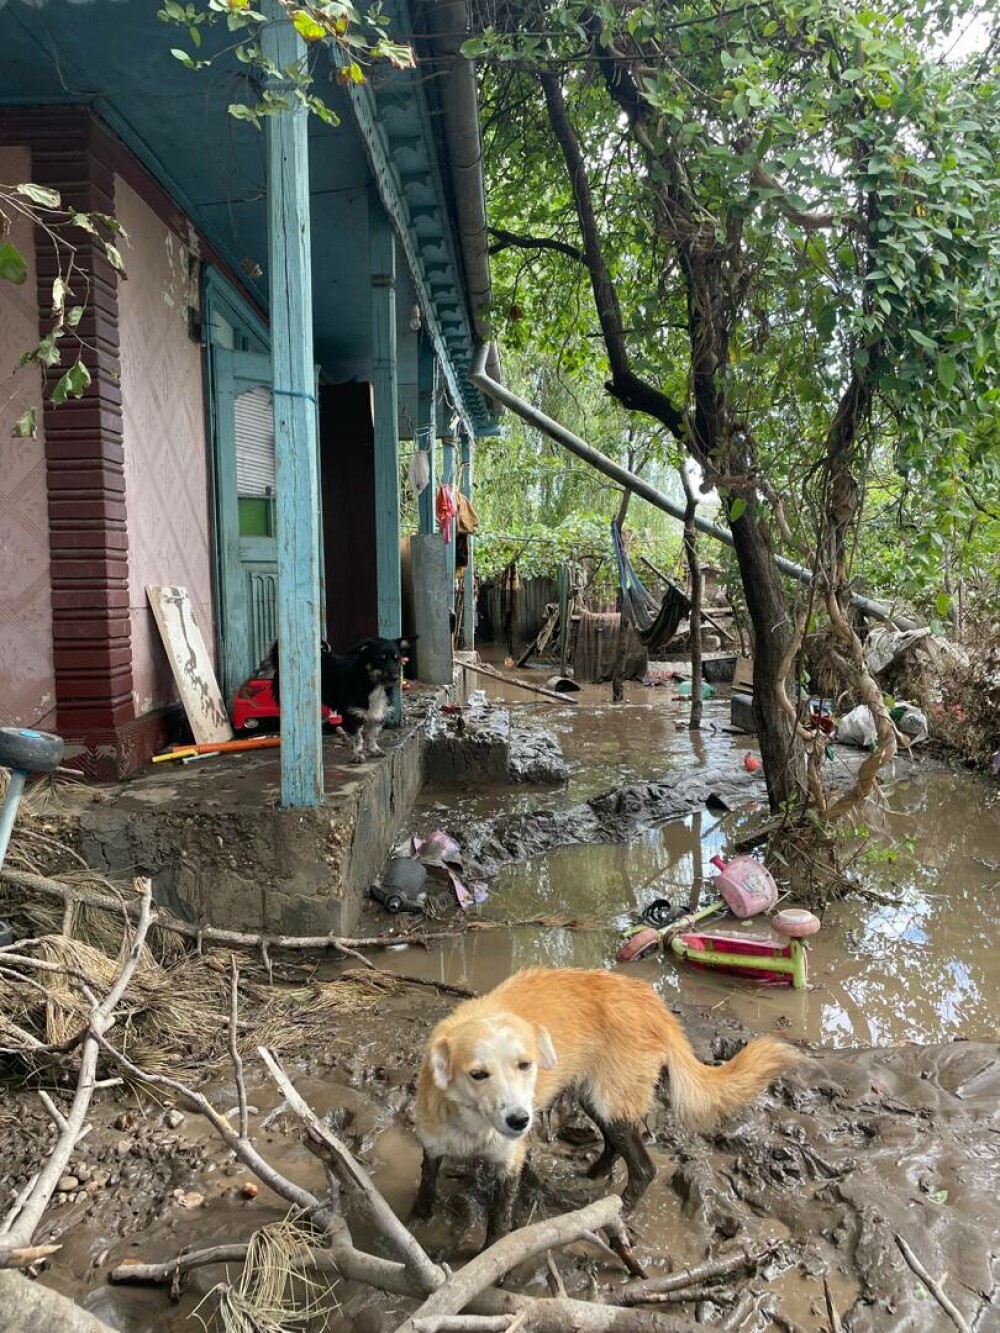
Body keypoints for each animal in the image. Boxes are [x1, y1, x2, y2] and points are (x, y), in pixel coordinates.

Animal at [266, 637, 416, 767]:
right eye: (381, 658)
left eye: (397, 659)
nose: (396, 678)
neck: (372, 684)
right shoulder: (353, 714)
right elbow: (358, 738)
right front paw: (358, 755)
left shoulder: (377, 713)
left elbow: (372, 734)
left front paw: (374, 749)